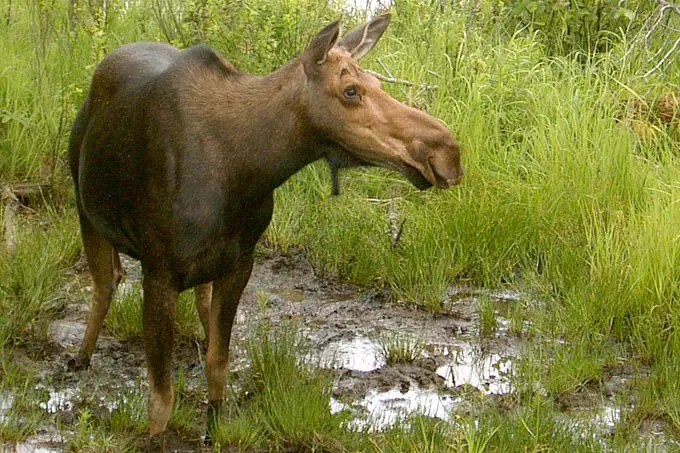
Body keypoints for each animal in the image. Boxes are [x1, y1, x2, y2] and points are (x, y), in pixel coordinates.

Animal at [68, 13, 463, 444]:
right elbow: (161, 400)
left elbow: (218, 363)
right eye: (351, 90)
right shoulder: (159, 271)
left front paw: (213, 429)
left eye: (377, 83)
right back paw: (80, 357)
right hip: (85, 207)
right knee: (106, 281)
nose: (448, 152)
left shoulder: (241, 260)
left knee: (197, 298)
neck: (247, 170)